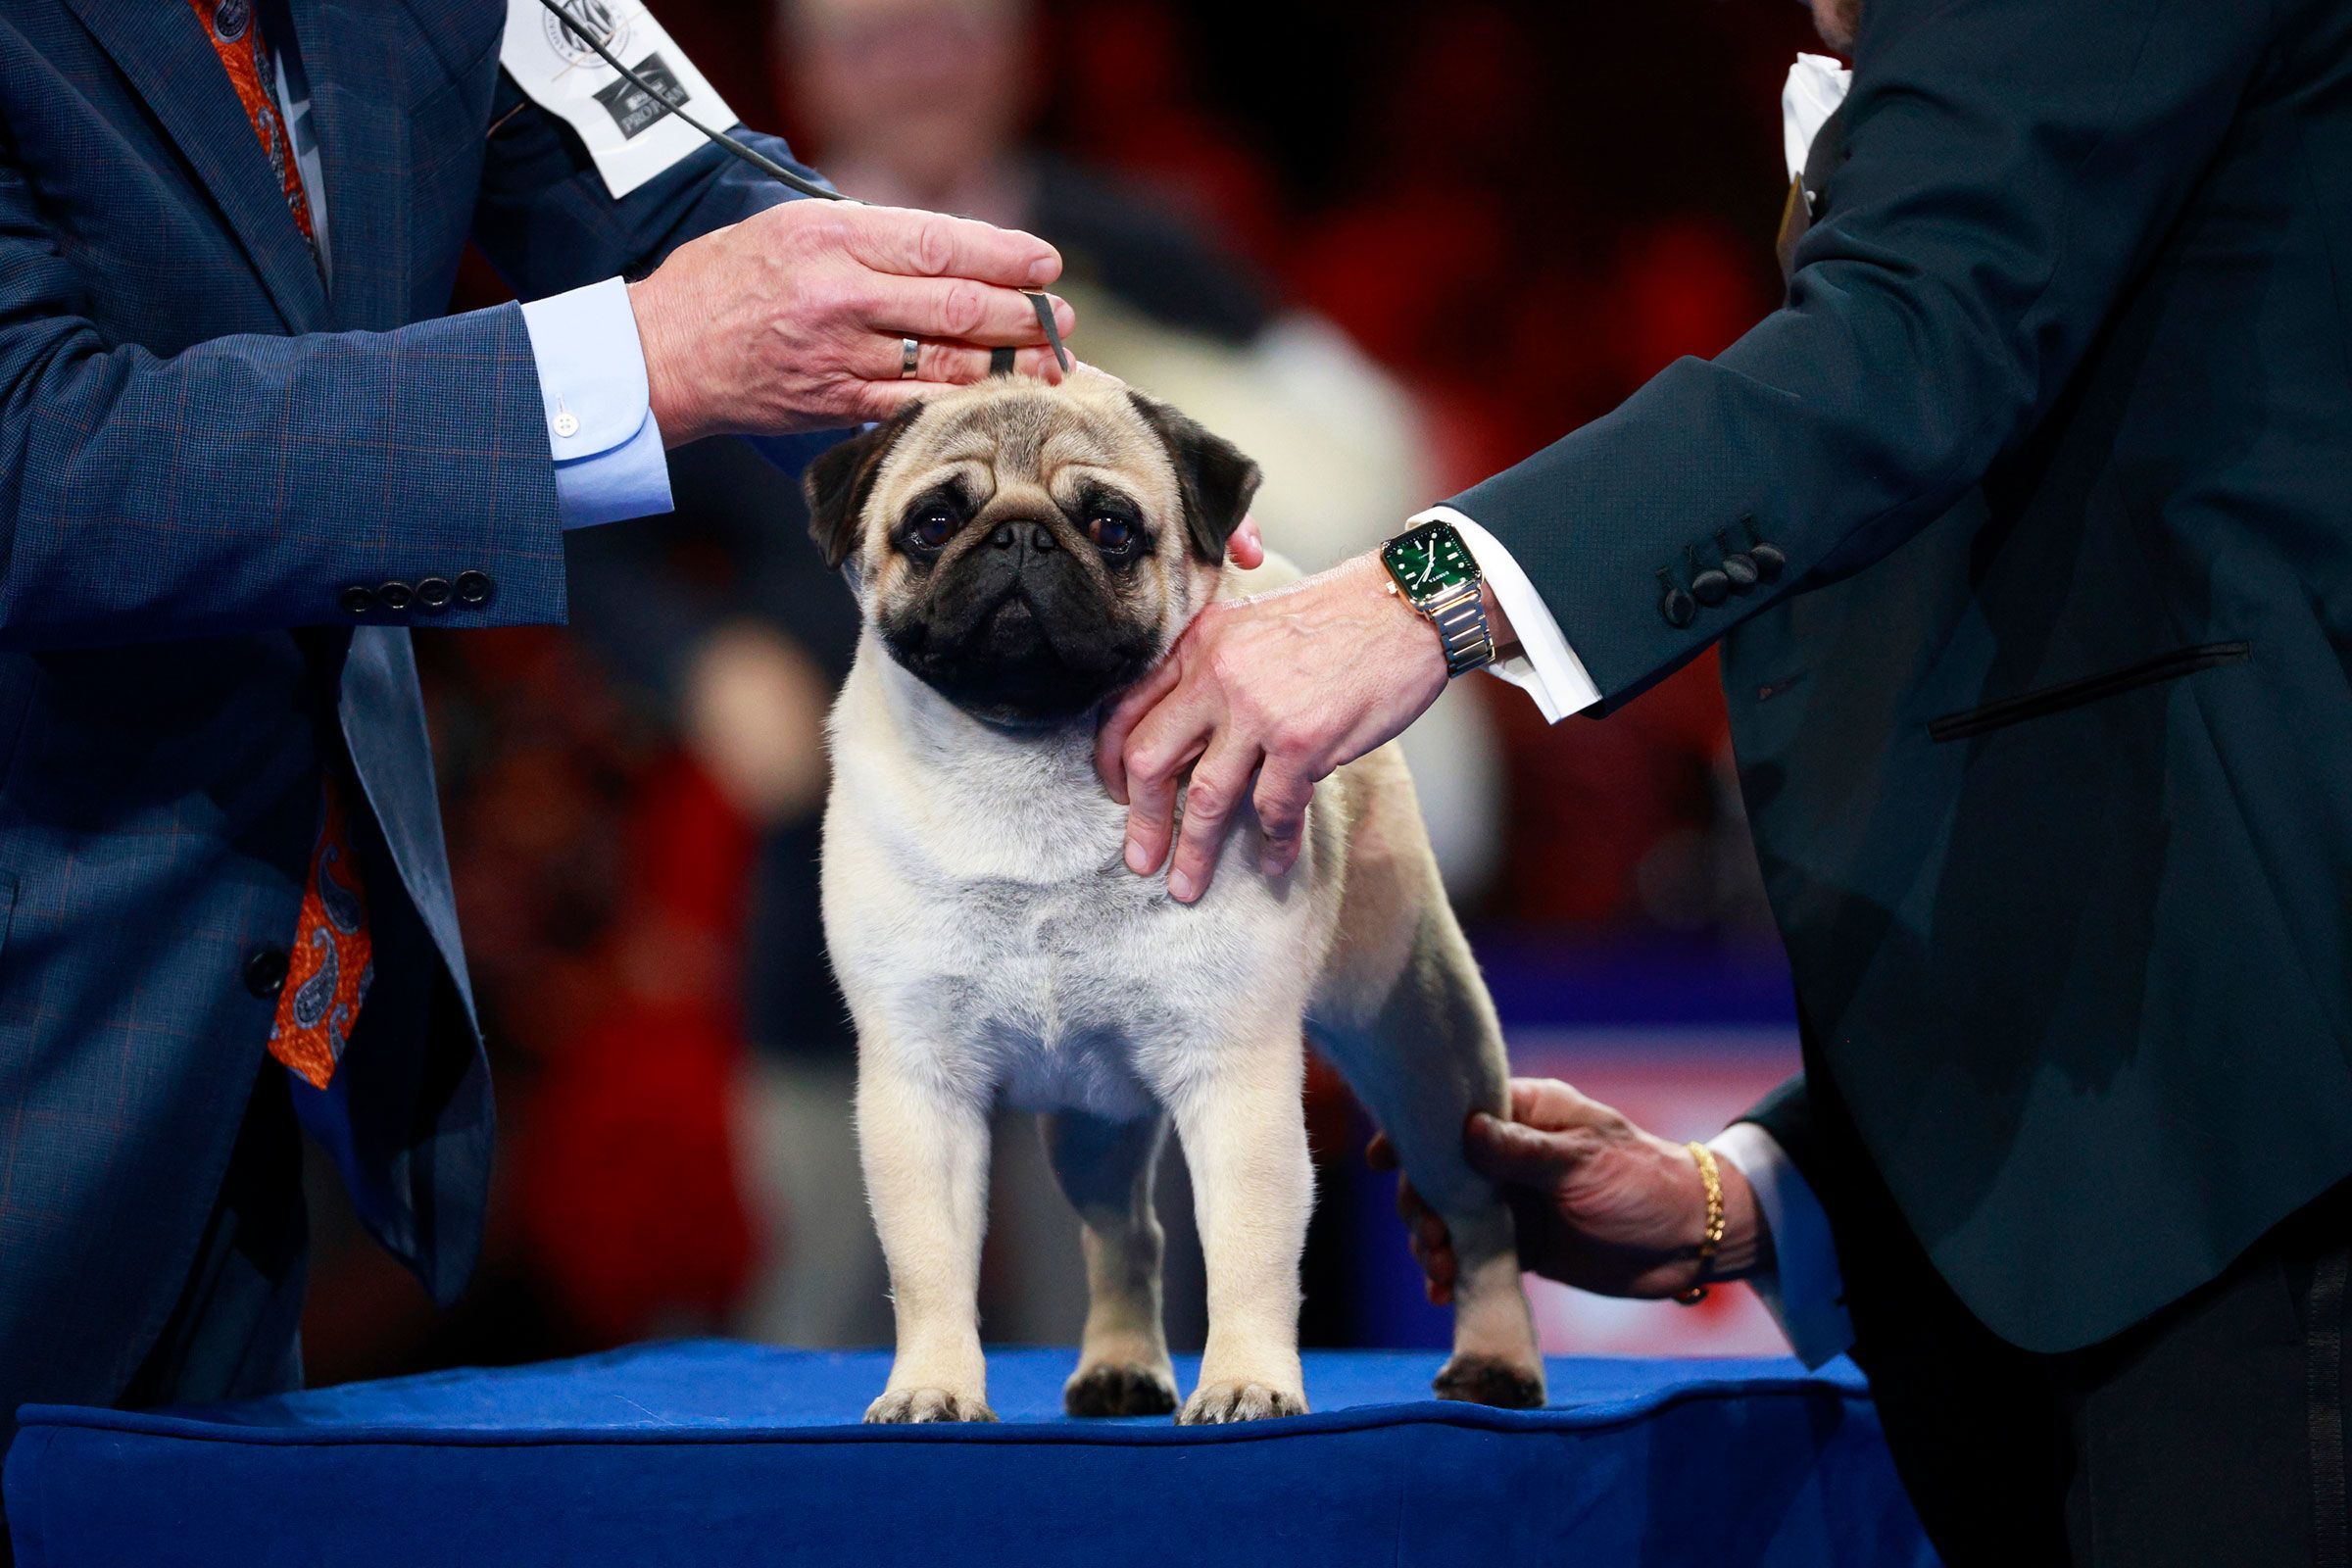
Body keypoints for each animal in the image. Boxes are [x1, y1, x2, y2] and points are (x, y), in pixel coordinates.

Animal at [808, 375, 1543, 1419]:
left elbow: (1248, 1252)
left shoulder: (1234, 1082)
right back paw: (1120, 1367)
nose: (1019, 535)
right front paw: (932, 1388)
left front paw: (1244, 1382)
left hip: (1428, 1059)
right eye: (935, 522)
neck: (1026, 765)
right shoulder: (922, 1088)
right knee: (1127, 1236)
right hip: (1096, 1124)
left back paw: (1497, 1362)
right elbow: (929, 1265)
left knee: (1480, 1214)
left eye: (1111, 528)